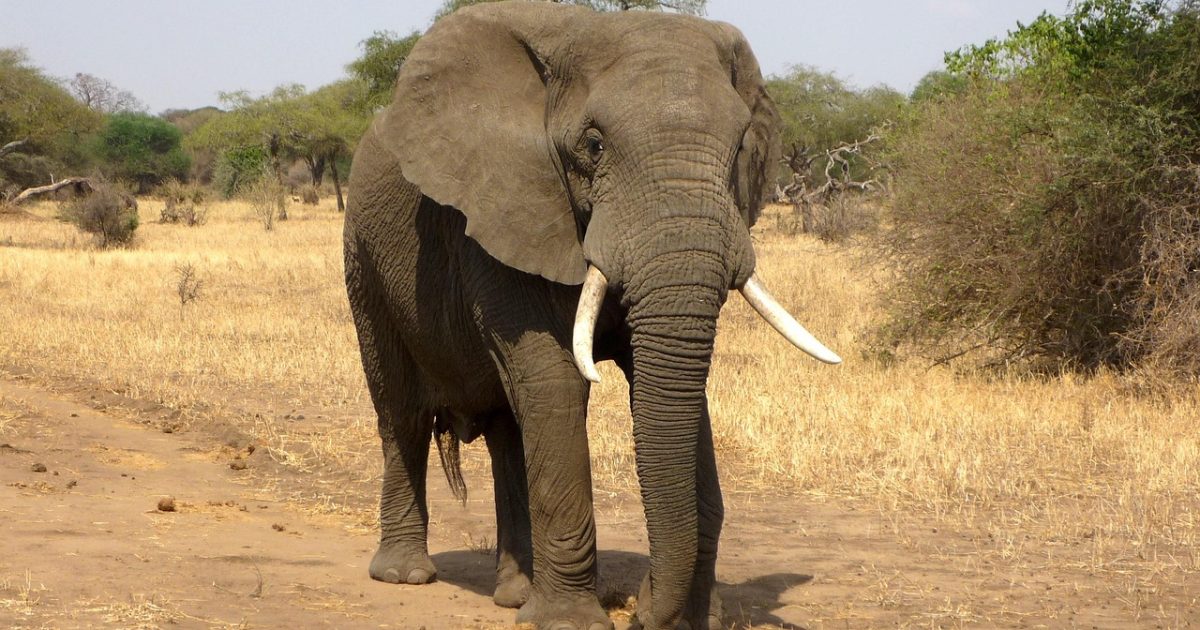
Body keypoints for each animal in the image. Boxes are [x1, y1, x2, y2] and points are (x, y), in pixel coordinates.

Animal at [342, 2, 840, 629]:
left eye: (739, 148)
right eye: (595, 145)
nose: (644, 614)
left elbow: (671, 387)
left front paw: (692, 617)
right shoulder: (505, 211)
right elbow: (555, 380)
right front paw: (568, 622)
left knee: (508, 429)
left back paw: (515, 594)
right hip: (364, 260)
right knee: (402, 413)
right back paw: (407, 575)